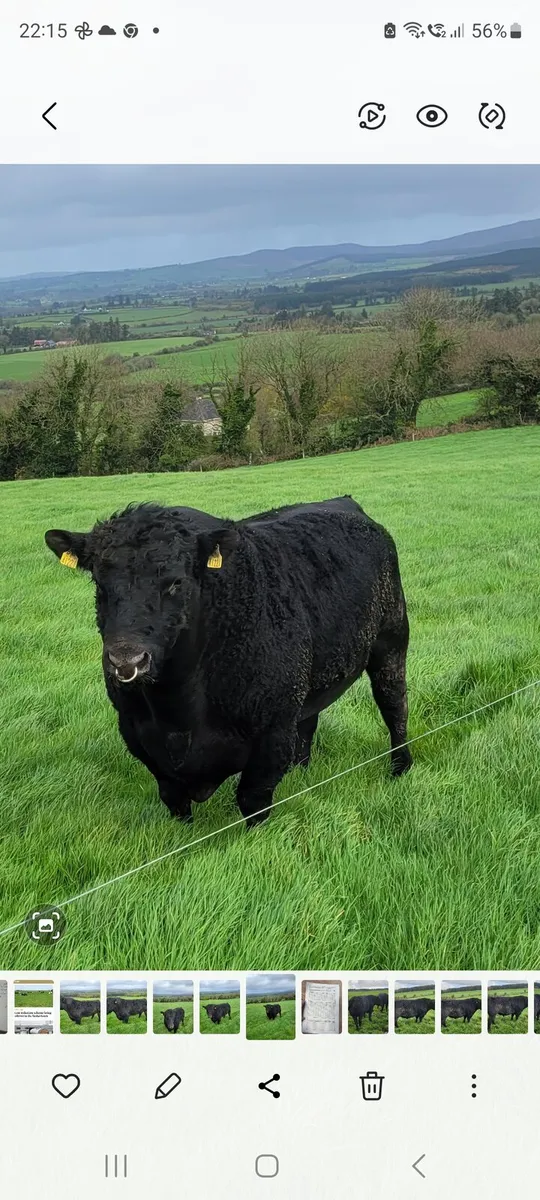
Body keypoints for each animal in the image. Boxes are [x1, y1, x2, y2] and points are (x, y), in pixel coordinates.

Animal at [45, 497, 411, 827]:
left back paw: (400, 767)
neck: (178, 710)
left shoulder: (272, 731)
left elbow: (252, 800)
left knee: (394, 706)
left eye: (176, 582)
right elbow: (174, 801)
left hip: (391, 643)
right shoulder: (137, 736)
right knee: (309, 721)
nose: (126, 658)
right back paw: (302, 771)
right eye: (99, 582)